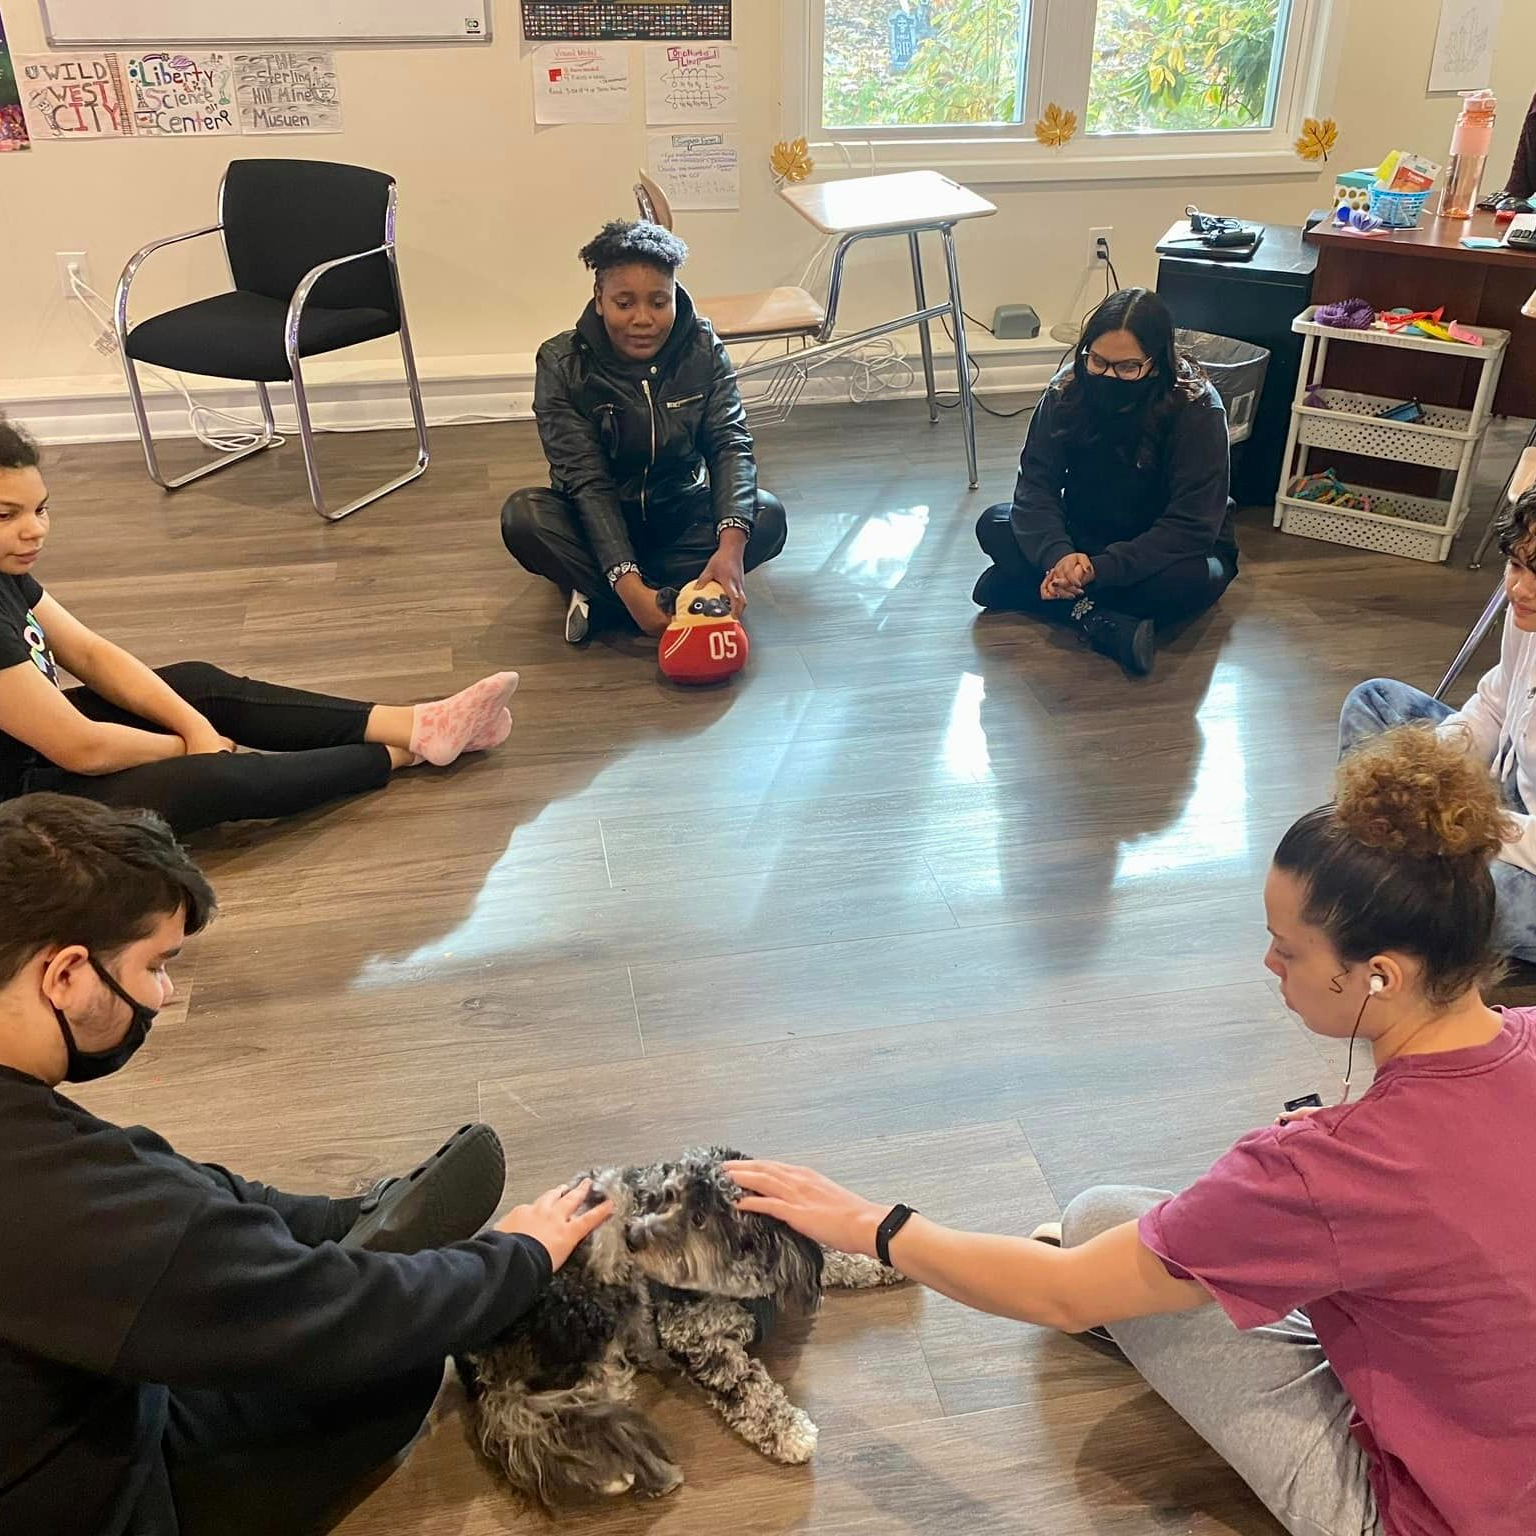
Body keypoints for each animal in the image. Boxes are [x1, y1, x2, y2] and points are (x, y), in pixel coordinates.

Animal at [460, 1148, 903, 1505]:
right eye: (666, 1196)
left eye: (700, 1217)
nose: (633, 1235)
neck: (739, 1288)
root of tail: (483, 1364)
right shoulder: (693, 1337)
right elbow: (748, 1388)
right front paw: (787, 1430)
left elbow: (830, 1253)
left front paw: (874, 1261)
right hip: (596, 1306)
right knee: (566, 1412)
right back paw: (619, 1473)